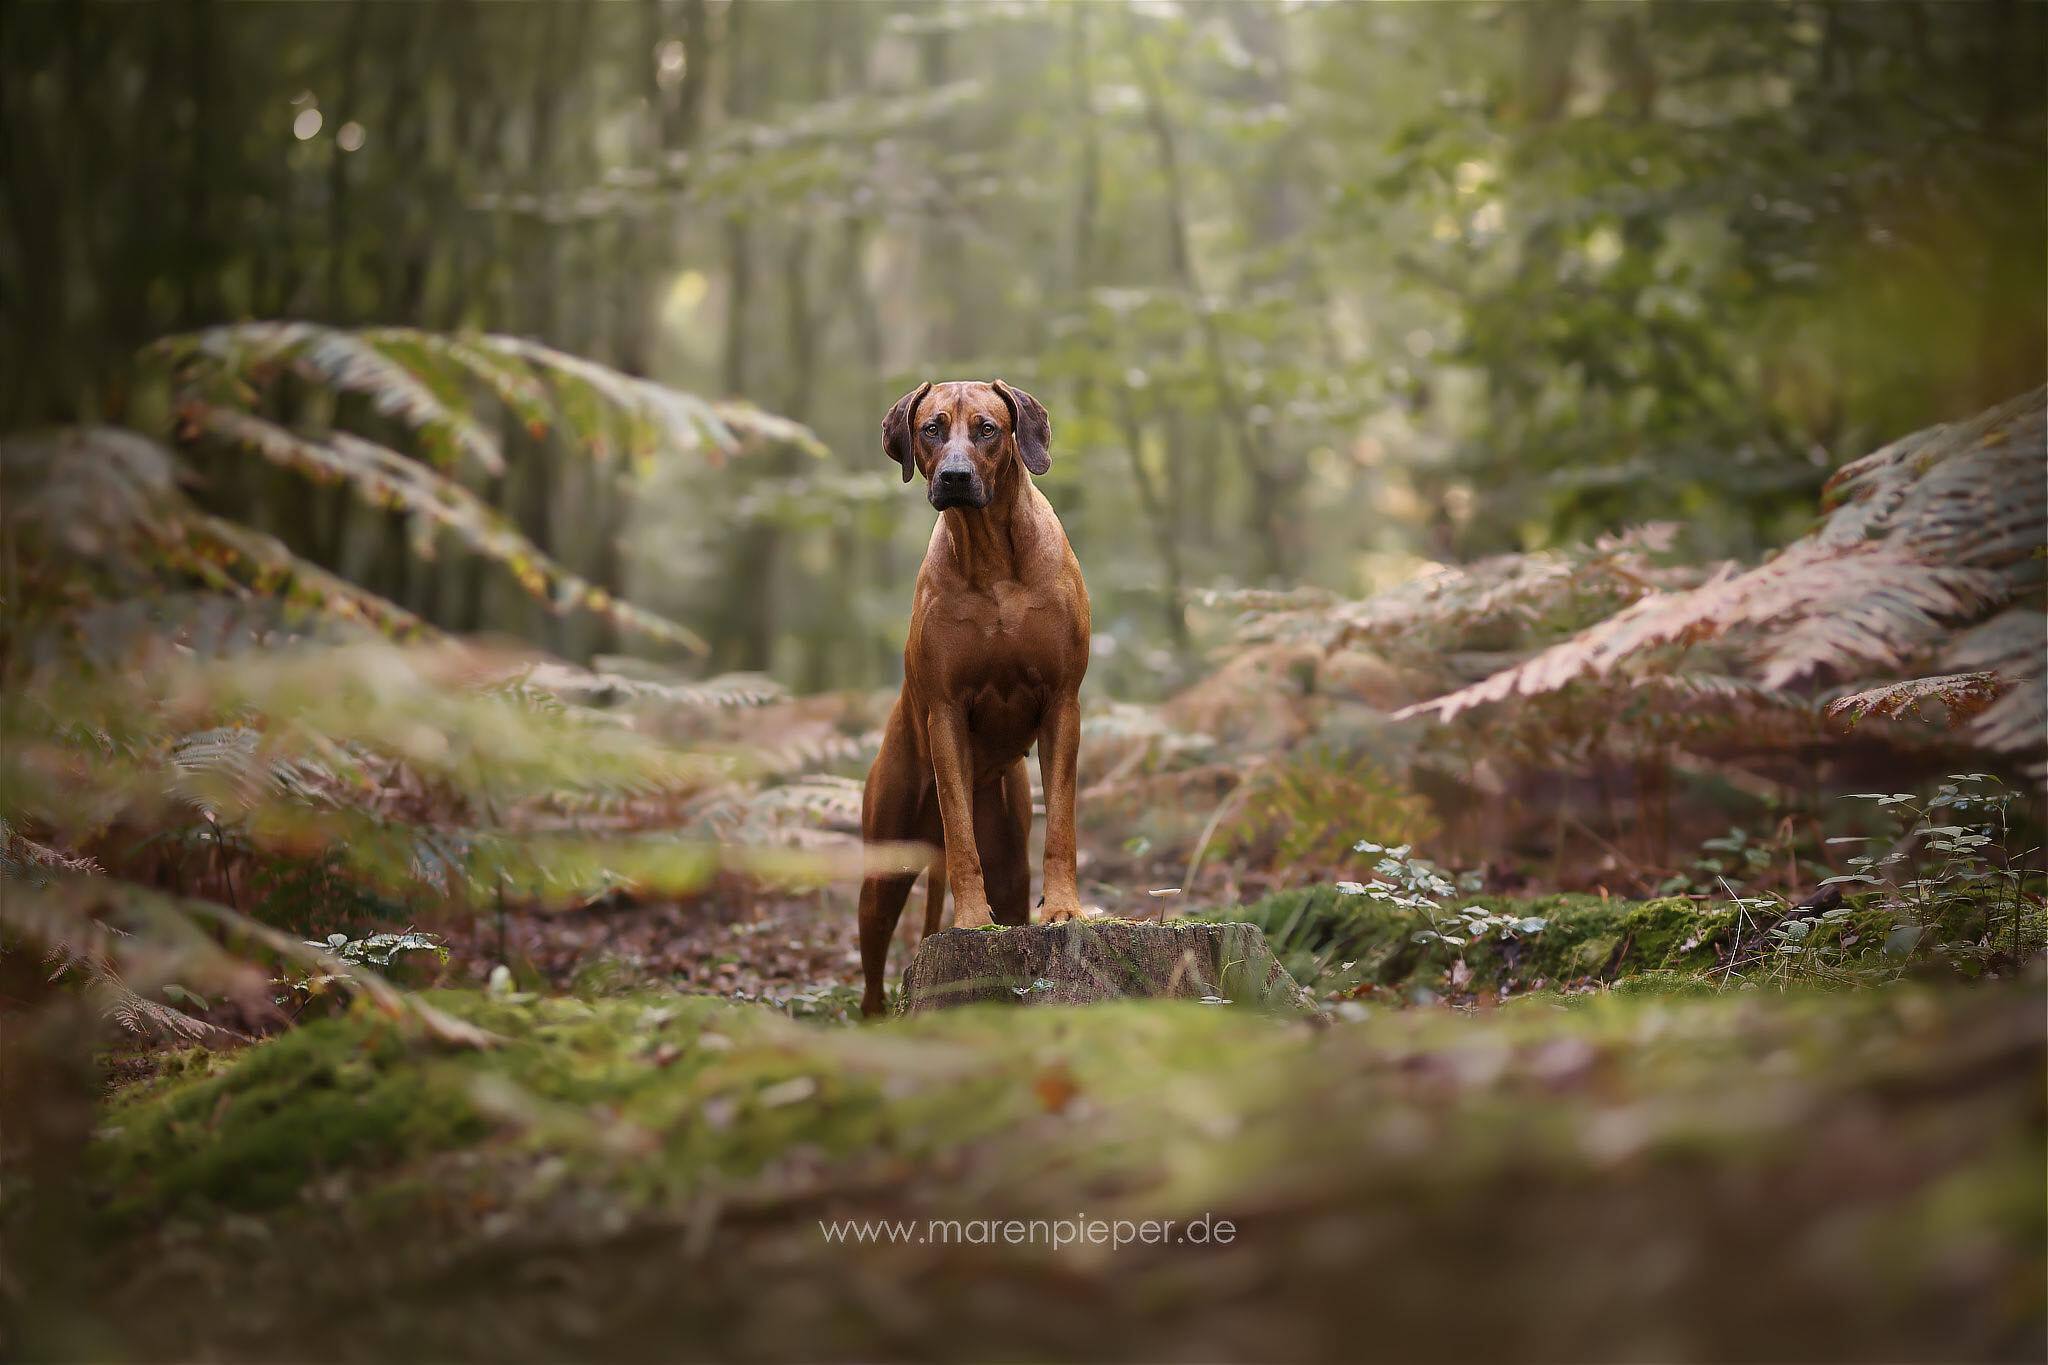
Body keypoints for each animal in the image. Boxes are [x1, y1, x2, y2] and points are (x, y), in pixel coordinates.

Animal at [860, 378, 1097, 1019]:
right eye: (931, 429)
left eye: (988, 429)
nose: (955, 477)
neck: (992, 558)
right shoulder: (944, 708)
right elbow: (961, 835)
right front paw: (970, 920)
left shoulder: (1063, 702)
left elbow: (1061, 825)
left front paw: (1064, 907)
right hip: (884, 863)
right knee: (871, 965)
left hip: (1011, 860)